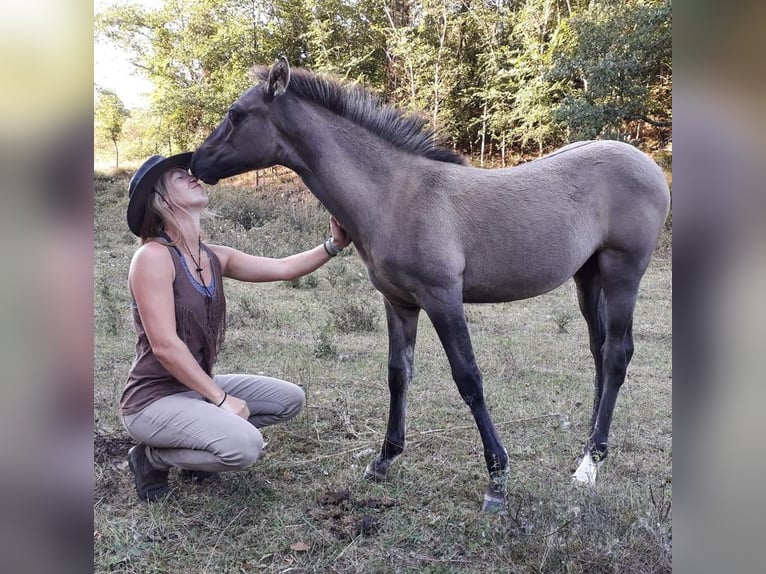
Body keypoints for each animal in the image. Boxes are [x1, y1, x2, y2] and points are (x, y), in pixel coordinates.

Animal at [190, 57, 671, 512]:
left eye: (235, 114)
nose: (196, 161)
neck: (394, 194)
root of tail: (645, 163)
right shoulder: (398, 302)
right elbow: (398, 374)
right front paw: (383, 460)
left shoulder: (443, 298)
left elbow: (469, 379)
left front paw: (497, 478)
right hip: (588, 276)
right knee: (599, 352)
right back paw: (590, 450)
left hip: (623, 270)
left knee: (616, 354)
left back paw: (590, 463)